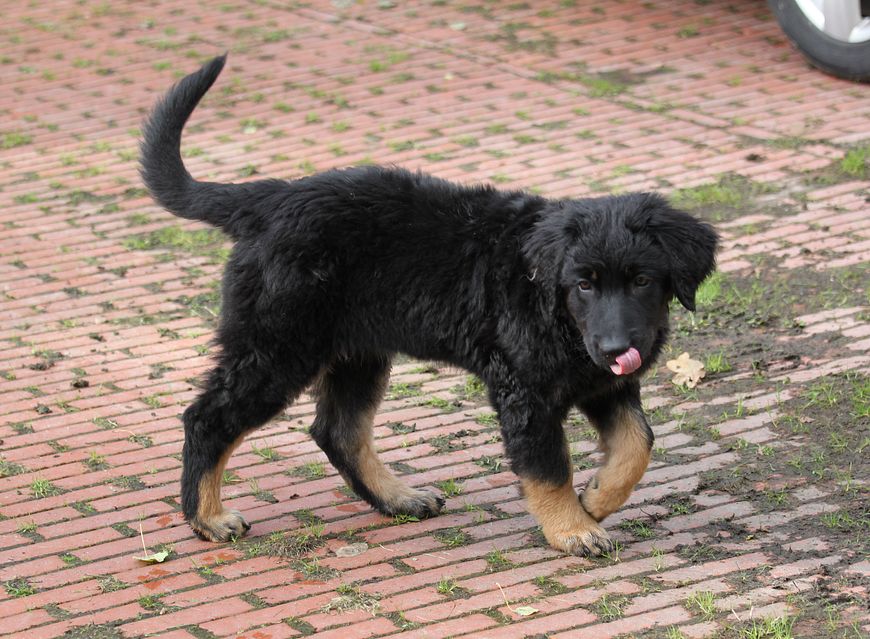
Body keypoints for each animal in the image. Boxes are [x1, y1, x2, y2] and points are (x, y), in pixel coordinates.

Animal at [140, 55, 718, 556]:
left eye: (642, 280)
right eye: (584, 285)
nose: (618, 347)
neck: (555, 312)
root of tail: (267, 200)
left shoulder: (604, 382)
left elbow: (638, 443)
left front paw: (596, 499)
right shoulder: (525, 391)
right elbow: (549, 468)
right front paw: (571, 530)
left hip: (356, 352)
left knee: (338, 432)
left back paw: (397, 498)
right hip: (278, 348)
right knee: (207, 418)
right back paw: (208, 518)